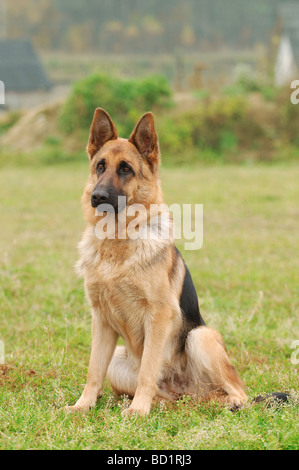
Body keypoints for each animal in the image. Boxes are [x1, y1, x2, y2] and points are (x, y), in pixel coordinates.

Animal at [67, 109, 248, 414]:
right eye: (100, 166)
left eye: (126, 169)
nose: (97, 197)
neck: (118, 241)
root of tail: (188, 392)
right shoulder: (100, 320)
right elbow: (93, 371)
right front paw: (83, 406)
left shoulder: (159, 316)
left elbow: (148, 370)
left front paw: (138, 411)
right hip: (119, 360)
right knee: (166, 395)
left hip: (199, 336)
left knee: (238, 391)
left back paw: (230, 402)